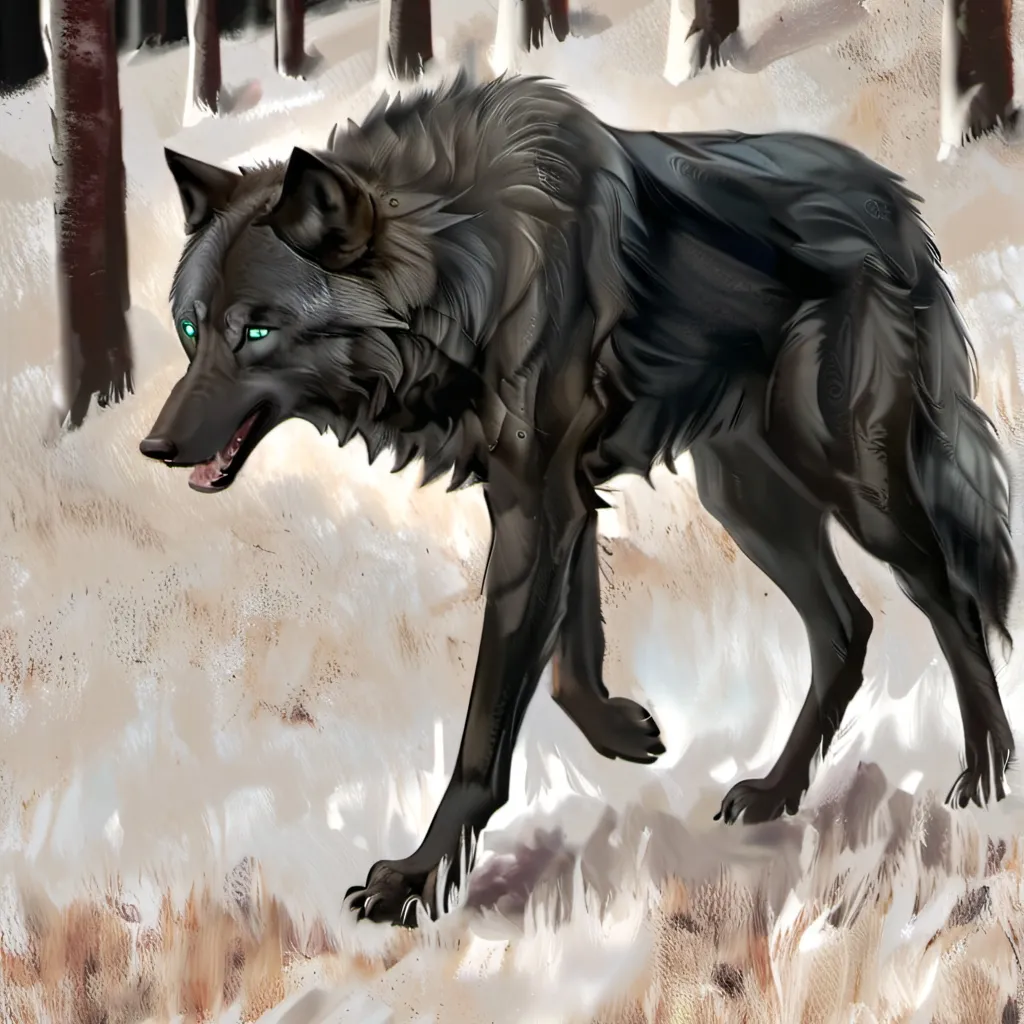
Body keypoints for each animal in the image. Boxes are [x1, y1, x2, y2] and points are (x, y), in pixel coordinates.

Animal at [140, 72, 1016, 926]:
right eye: (191, 329)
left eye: (257, 333)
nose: (156, 447)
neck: (465, 261)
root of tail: (893, 201)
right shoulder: (558, 500)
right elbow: (571, 657)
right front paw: (625, 733)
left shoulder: (540, 505)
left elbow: (487, 727)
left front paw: (420, 880)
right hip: (746, 497)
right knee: (845, 626)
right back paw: (775, 792)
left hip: (853, 482)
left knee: (949, 598)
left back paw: (986, 773)